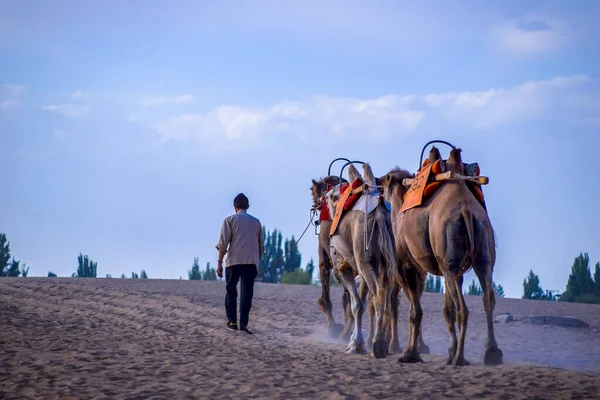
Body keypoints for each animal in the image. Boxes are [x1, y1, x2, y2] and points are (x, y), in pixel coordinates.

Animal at [324, 164, 398, 358]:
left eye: (330, 195)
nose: (323, 199)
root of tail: (380, 214)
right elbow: (362, 303)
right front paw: (356, 342)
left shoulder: (342, 267)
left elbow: (356, 304)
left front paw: (355, 345)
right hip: (386, 260)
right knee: (387, 296)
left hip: (364, 258)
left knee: (379, 293)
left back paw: (378, 343)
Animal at [382, 146, 504, 366]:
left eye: (386, 179)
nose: (378, 186)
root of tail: (466, 210)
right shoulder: (451, 269)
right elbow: (447, 310)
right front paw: (449, 351)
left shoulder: (406, 265)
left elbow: (415, 311)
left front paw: (410, 354)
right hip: (481, 255)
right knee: (488, 298)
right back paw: (491, 353)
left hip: (449, 260)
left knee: (463, 309)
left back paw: (460, 358)